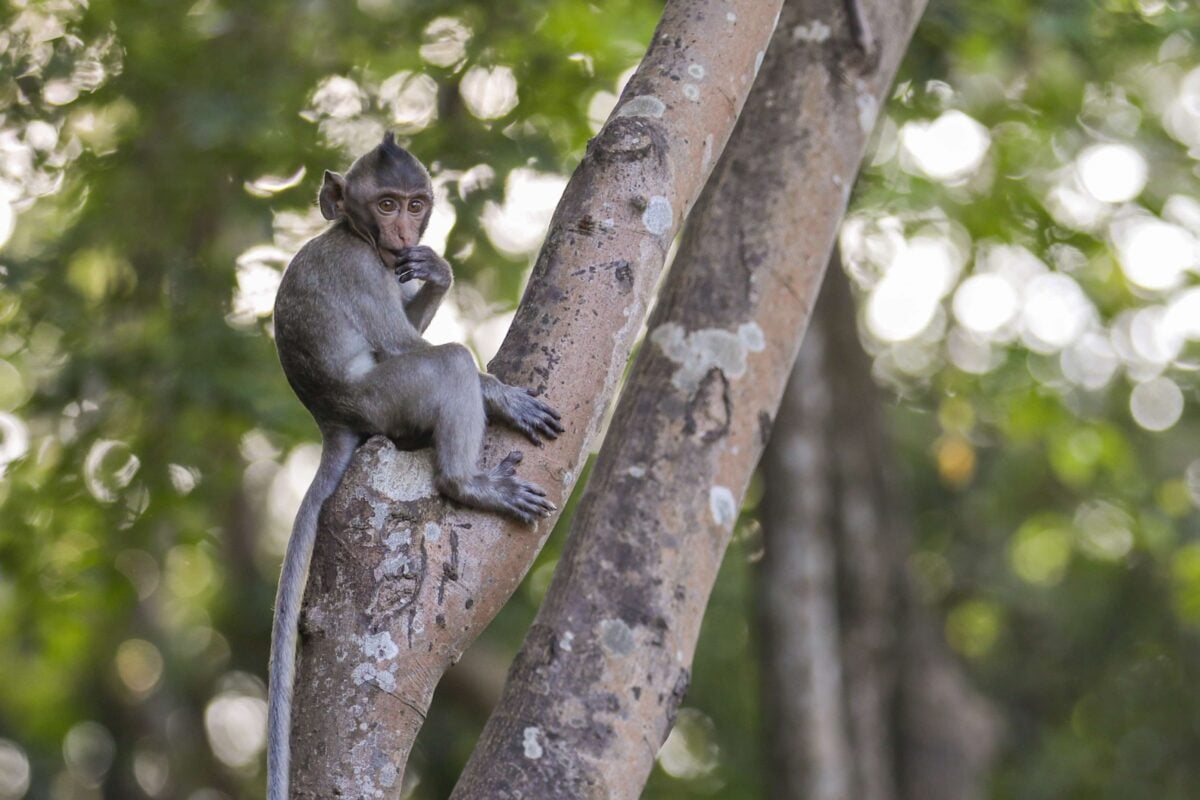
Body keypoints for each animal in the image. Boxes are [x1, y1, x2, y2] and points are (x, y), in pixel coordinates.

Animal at [266, 133, 561, 800]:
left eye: (415, 204)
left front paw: (437, 270)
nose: (402, 232)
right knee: (446, 362)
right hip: (386, 398)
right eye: (387, 203)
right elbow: (407, 343)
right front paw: (503, 396)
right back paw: (469, 483)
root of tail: (332, 418)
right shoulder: (360, 267)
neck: (351, 233)